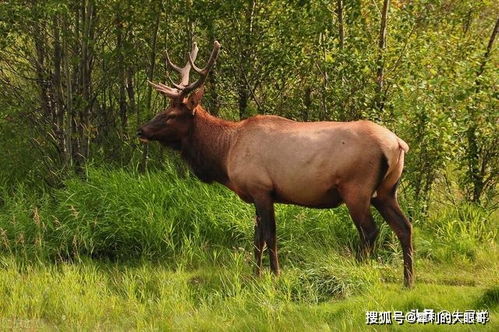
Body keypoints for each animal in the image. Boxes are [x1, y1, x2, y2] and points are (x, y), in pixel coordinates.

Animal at [139, 40, 416, 286]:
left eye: (171, 114)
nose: (141, 130)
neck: (225, 154)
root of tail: (398, 144)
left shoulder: (261, 188)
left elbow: (270, 236)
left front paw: (275, 274)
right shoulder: (257, 193)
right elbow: (257, 238)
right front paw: (255, 275)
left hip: (356, 188)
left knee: (370, 231)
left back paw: (359, 271)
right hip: (386, 191)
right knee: (404, 226)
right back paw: (408, 280)